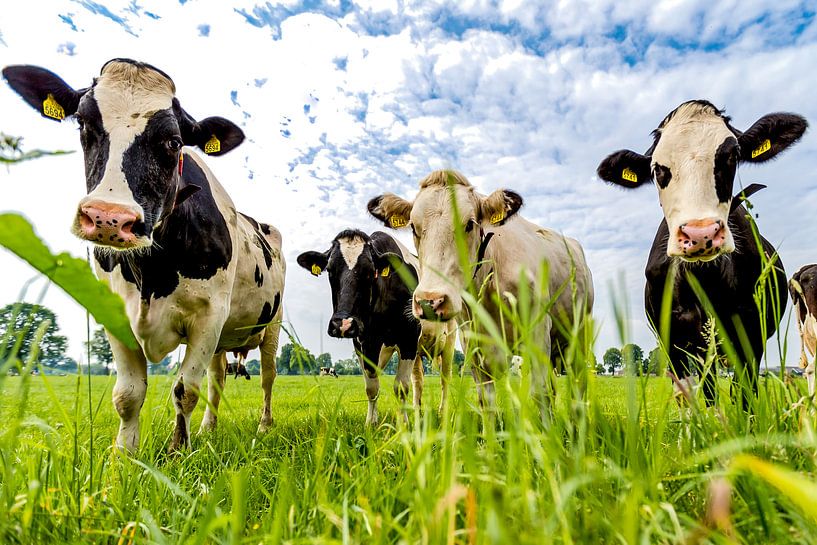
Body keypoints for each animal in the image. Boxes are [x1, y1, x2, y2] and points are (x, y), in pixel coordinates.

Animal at [3, 59, 286, 450]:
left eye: (174, 141)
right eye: (82, 123)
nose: (108, 217)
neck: (151, 273)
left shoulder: (210, 316)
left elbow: (185, 390)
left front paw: (179, 449)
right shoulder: (114, 313)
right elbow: (128, 394)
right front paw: (124, 452)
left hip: (271, 326)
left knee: (267, 378)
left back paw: (263, 425)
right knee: (217, 380)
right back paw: (208, 428)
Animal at [296, 230, 456, 424]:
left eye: (370, 271)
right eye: (330, 270)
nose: (343, 324)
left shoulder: (408, 338)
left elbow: (401, 387)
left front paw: (403, 423)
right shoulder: (362, 343)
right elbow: (371, 386)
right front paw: (371, 422)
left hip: (449, 342)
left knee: (445, 378)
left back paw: (443, 412)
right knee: (418, 380)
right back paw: (418, 413)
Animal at [370, 170, 592, 420]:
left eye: (469, 224)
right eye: (414, 228)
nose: (430, 301)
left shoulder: (538, 331)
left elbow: (540, 392)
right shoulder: (472, 342)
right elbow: (487, 399)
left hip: (579, 335)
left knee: (578, 382)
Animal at [596, 100, 808, 406]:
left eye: (733, 155)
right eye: (657, 169)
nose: (700, 234)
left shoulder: (750, 335)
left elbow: (745, 394)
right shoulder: (672, 339)